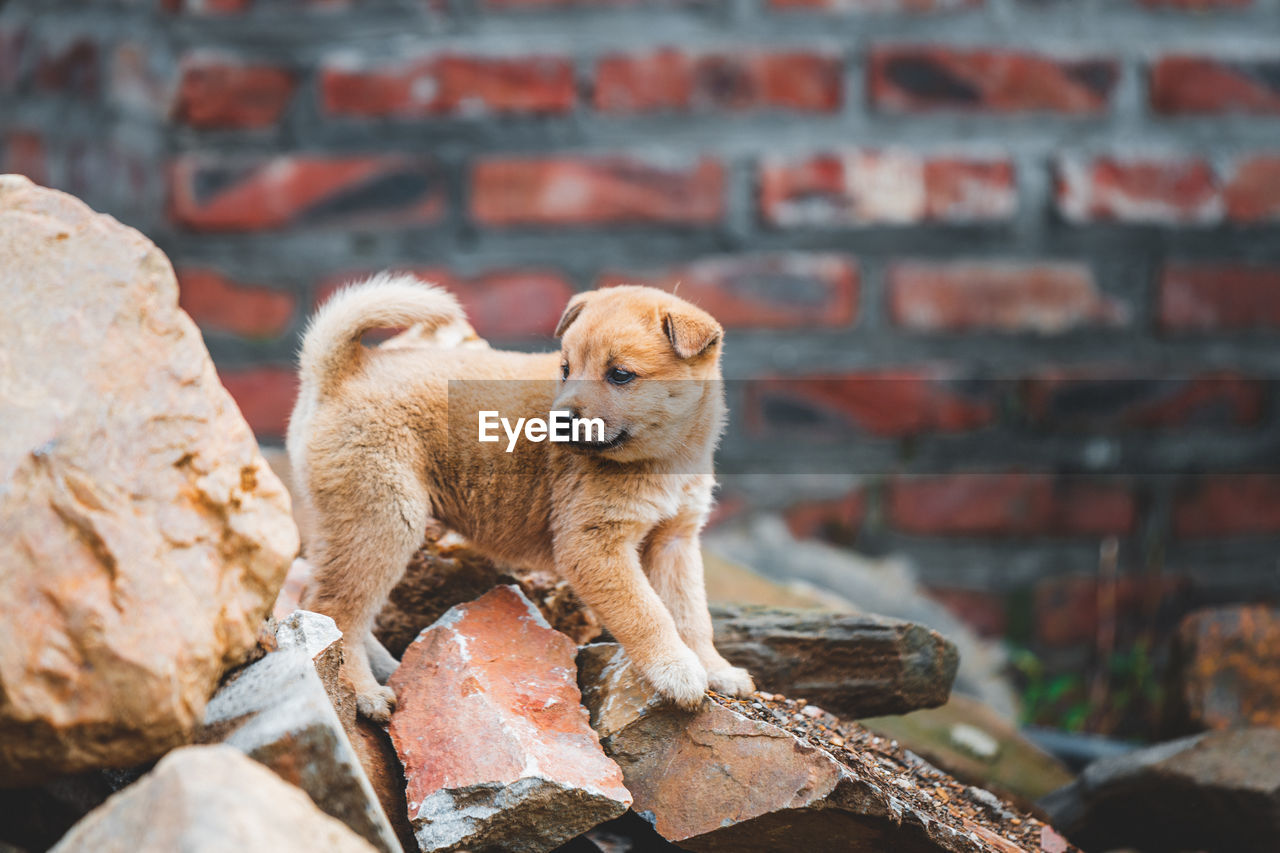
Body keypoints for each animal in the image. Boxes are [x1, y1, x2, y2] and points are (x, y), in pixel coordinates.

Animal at [285, 272, 752, 717]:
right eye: (566, 368)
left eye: (620, 374)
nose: (558, 421)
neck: (664, 458)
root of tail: (341, 369)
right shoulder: (593, 545)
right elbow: (646, 613)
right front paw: (676, 670)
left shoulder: (675, 541)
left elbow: (691, 615)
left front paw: (716, 669)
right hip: (382, 520)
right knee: (336, 610)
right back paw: (363, 692)